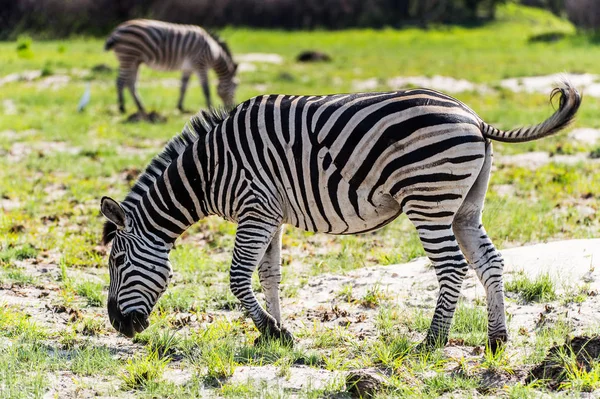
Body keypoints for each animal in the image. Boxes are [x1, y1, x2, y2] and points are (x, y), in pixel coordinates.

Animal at [99, 82, 580, 354]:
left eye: (116, 262)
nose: (120, 327)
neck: (210, 169)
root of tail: (475, 117)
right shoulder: (271, 213)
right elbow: (270, 275)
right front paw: (276, 331)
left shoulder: (255, 208)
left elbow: (237, 277)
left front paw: (271, 331)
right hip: (464, 205)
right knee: (489, 261)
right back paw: (497, 340)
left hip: (428, 198)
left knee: (452, 267)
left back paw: (432, 342)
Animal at [105, 19, 239, 115]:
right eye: (236, 86)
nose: (231, 109)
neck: (213, 52)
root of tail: (116, 30)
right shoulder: (200, 65)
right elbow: (206, 89)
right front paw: (210, 107)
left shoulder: (188, 68)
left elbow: (183, 87)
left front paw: (180, 107)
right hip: (128, 56)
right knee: (120, 82)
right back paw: (122, 107)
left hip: (135, 61)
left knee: (131, 84)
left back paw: (141, 107)